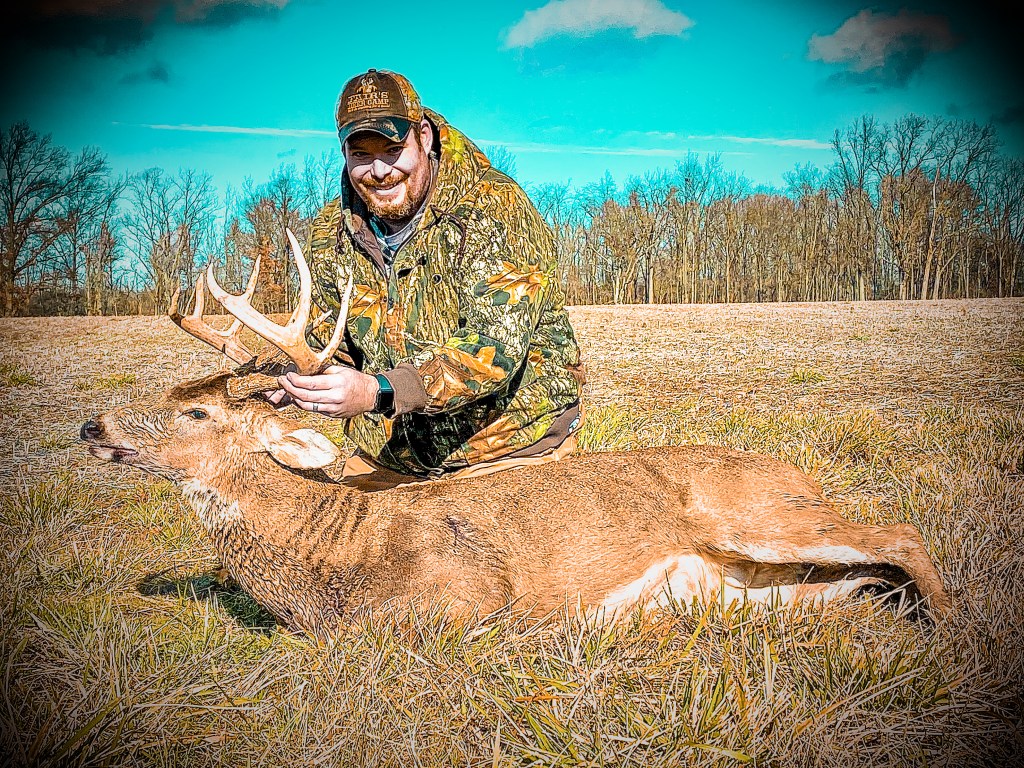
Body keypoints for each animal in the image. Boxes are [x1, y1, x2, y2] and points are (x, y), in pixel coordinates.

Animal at [80, 230, 952, 639]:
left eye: (197, 414)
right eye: (168, 394)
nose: (93, 423)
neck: (328, 551)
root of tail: (798, 474)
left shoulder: (463, 590)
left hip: (752, 511)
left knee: (901, 532)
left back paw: (949, 629)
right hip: (769, 585)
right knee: (863, 574)